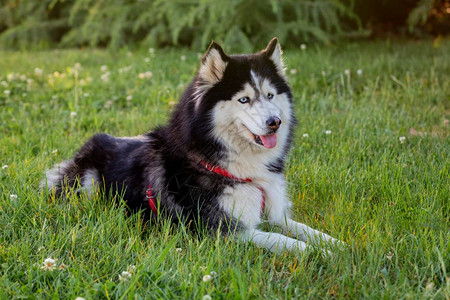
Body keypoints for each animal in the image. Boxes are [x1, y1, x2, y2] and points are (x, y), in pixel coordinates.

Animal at [42, 38, 340, 253]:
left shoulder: (276, 215)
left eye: (270, 95)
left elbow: (306, 230)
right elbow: (283, 241)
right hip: (88, 184)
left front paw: (338, 245)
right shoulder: (223, 230)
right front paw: (321, 254)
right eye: (244, 99)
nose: (274, 122)